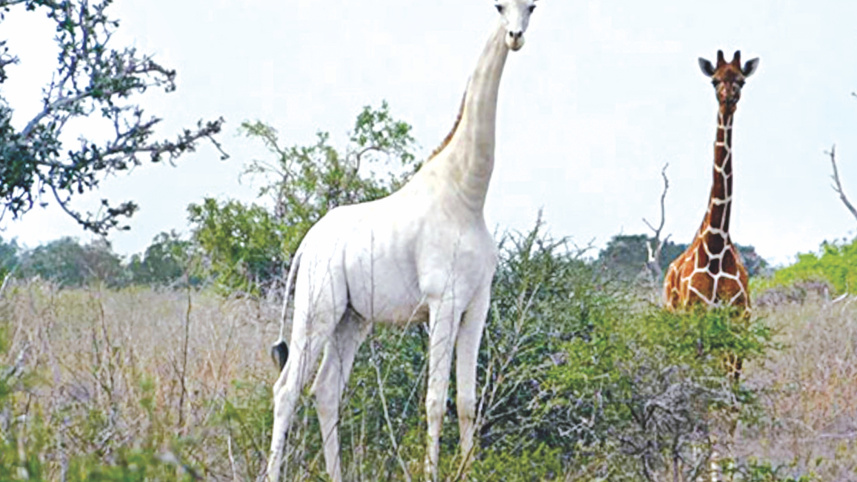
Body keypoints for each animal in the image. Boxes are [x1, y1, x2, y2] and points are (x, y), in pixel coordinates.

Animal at [265, 2, 538, 481]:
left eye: (533, 7)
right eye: (499, 7)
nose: (515, 36)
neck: (467, 196)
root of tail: (307, 243)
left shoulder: (478, 304)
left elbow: (466, 401)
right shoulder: (443, 302)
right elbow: (434, 401)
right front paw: (432, 473)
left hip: (351, 319)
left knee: (325, 389)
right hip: (318, 308)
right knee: (286, 390)